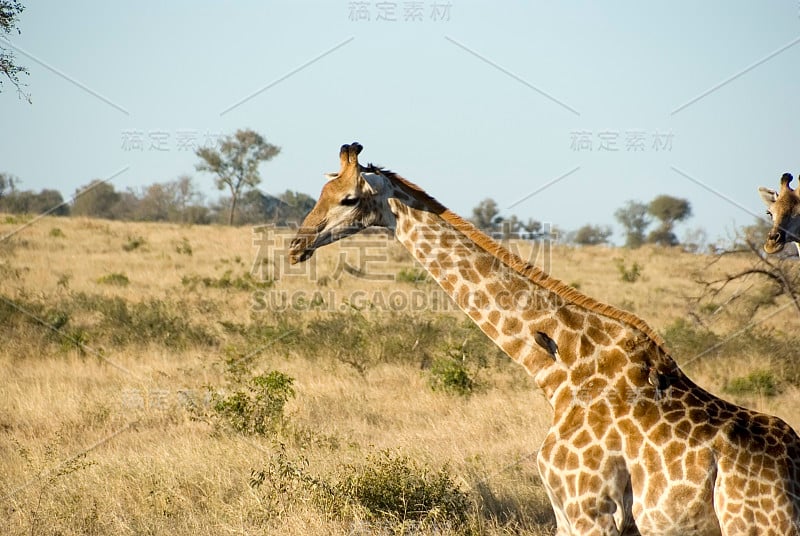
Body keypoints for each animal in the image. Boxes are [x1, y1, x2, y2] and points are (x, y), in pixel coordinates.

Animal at [290, 143, 800, 536]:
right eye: (322, 192)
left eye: (349, 199)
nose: (297, 244)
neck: (562, 372)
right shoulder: (566, 514)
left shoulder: (591, 509)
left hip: (755, 526)